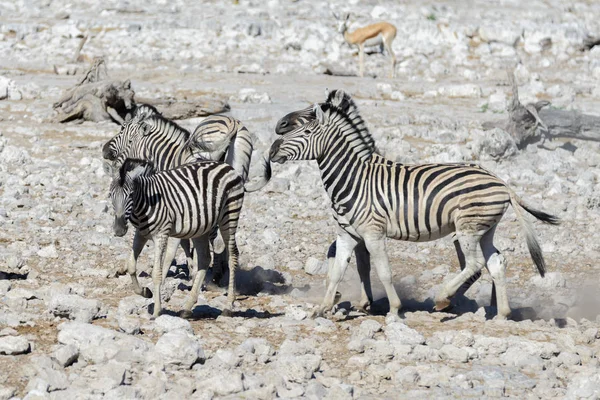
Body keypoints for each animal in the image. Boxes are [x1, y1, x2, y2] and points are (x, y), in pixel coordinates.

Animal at [110, 158, 244, 318]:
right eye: (110, 195)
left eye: (131, 194)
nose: (119, 230)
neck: (144, 204)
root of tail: (225, 165)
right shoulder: (141, 233)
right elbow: (131, 266)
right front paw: (145, 292)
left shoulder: (161, 233)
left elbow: (157, 273)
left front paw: (156, 311)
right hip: (201, 228)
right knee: (205, 259)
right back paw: (187, 307)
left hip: (229, 216)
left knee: (233, 255)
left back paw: (228, 306)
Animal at [270, 90, 560, 318]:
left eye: (308, 129)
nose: (272, 146)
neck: (353, 177)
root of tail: (501, 182)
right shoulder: (347, 235)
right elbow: (338, 271)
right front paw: (323, 308)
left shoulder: (373, 233)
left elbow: (383, 272)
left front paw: (394, 309)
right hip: (484, 230)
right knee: (495, 262)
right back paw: (501, 314)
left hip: (467, 229)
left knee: (475, 264)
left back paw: (444, 298)